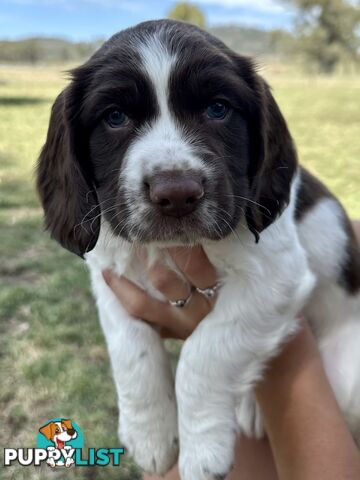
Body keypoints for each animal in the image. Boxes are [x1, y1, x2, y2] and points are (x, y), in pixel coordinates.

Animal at [37, 18, 360, 480]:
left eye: (218, 109)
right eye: (115, 117)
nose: (176, 194)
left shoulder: (276, 277)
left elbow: (204, 353)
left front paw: (202, 451)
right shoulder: (111, 276)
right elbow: (130, 348)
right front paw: (149, 434)